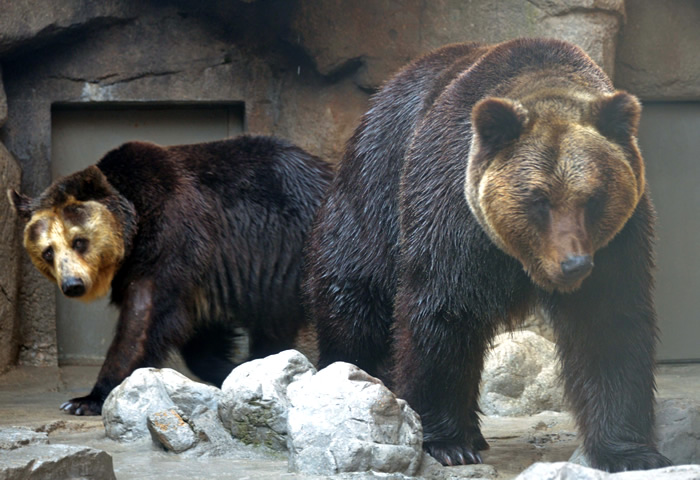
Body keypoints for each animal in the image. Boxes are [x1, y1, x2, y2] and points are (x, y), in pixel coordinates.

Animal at [10, 135, 334, 416]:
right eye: (48, 251)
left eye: (79, 241)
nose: (72, 285)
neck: (134, 224)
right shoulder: (200, 270)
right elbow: (199, 334)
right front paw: (226, 367)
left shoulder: (173, 233)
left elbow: (145, 315)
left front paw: (86, 399)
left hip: (302, 249)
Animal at [306, 38, 672, 472]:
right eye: (539, 200)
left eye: (593, 199)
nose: (574, 264)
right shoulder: (452, 213)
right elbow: (442, 310)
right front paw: (447, 443)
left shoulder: (618, 241)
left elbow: (609, 326)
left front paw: (631, 452)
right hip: (375, 188)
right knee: (356, 295)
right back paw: (350, 377)